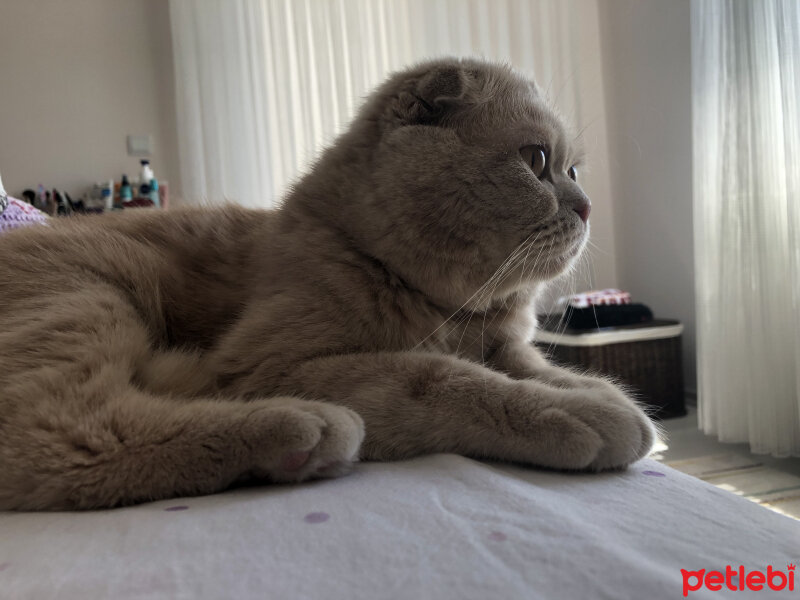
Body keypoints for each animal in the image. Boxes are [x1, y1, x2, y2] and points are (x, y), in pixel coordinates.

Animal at [0, 57, 656, 510]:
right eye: (536, 161)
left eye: (574, 171)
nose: (587, 207)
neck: (453, 313)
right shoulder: (267, 365)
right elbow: (441, 374)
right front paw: (583, 415)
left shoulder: (510, 348)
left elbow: (543, 369)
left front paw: (607, 398)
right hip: (88, 295)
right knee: (55, 438)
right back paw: (299, 429)